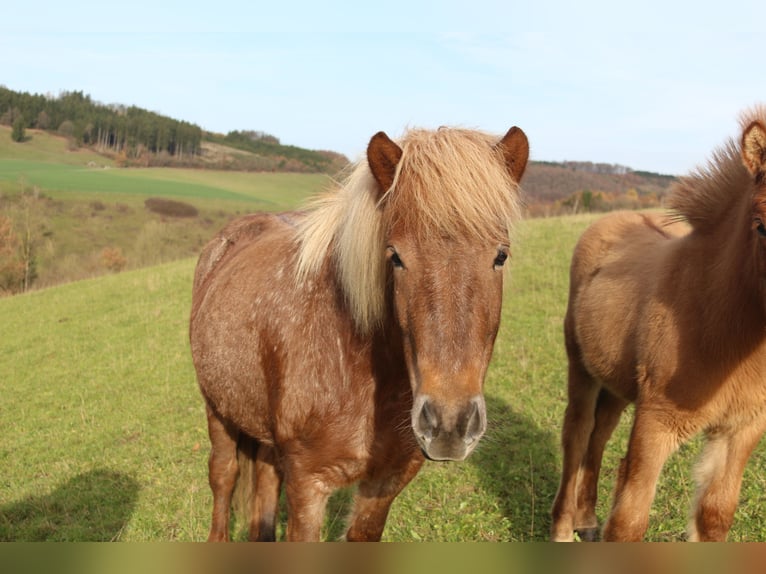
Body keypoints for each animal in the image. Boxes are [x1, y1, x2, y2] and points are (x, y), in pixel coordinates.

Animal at [189, 125, 529, 541]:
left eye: (501, 256)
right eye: (395, 256)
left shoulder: (386, 482)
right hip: (217, 409)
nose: (450, 424)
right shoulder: (307, 485)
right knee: (223, 476)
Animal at [550, 106, 766, 542]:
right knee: (577, 432)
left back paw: (587, 519)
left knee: (601, 431)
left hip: (617, 382)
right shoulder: (657, 420)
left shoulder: (744, 426)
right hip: (581, 368)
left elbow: (715, 515)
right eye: (761, 225)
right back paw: (563, 529)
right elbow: (629, 522)